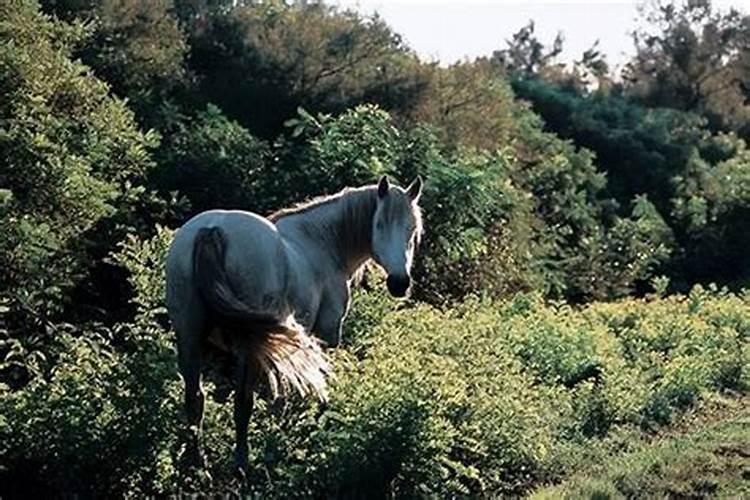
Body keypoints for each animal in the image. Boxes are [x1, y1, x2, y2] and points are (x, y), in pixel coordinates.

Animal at [164, 178, 424, 474]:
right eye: (379, 224)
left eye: (412, 230)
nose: (399, 283)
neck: (323, 242)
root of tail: (211, 230)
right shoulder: (327, 334)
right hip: (247, 345)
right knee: (242, 402)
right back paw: (242, 465)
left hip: (189, 337)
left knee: (194, 398)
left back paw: (196, 463)